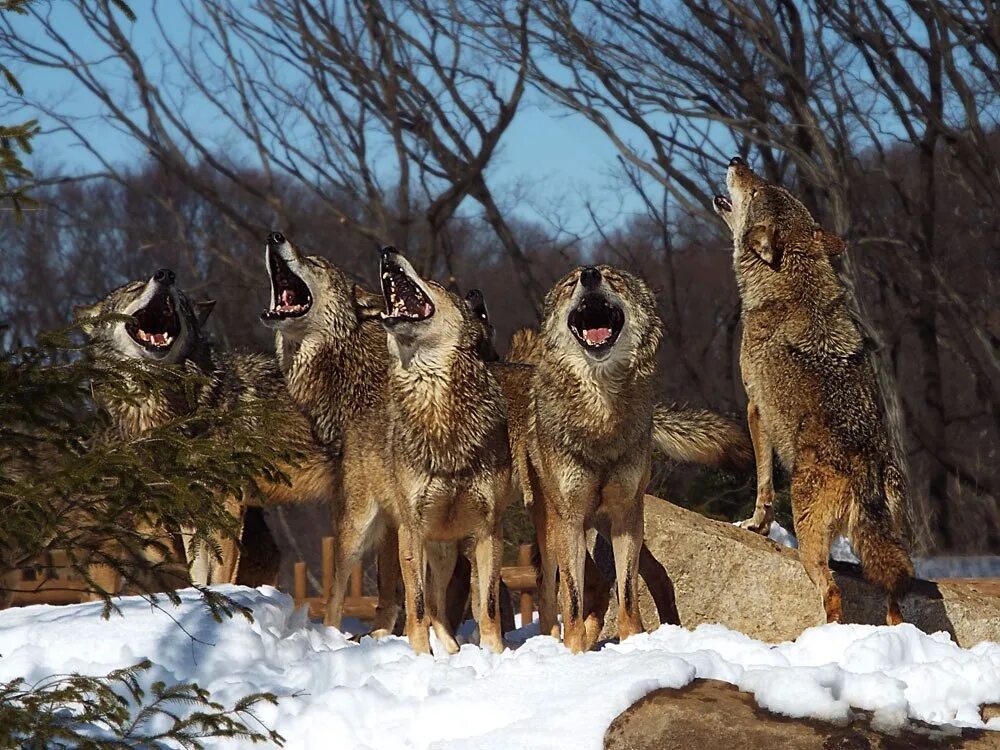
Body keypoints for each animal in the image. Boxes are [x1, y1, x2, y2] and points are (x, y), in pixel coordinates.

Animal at [77, 268, 336, 592]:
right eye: (135, 288)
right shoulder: (191, 511)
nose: (166, 274)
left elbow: (220, 574)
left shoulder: (227, 505)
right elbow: (198, 574)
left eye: (182, 299)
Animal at [376, 250, 516, 656]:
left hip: (447, 554)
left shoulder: (489, 531)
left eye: (434, 283)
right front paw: (421, 657)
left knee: (441, 603)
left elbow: (487, 604)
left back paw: (454, 652)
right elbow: (417, 605)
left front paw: (494, 654)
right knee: (426, 603)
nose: (386, 250)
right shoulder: (412, 531)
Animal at [712, 156, 916, 624]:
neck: (792, 281)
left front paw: (753, 526)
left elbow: (763, 485)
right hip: (886, 547)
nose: (736, 160)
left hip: (810, 543)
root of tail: (865, 468)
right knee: (895, 600)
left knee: (833, 592)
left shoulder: (755, 410)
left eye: (755, 190)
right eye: (766, 184)